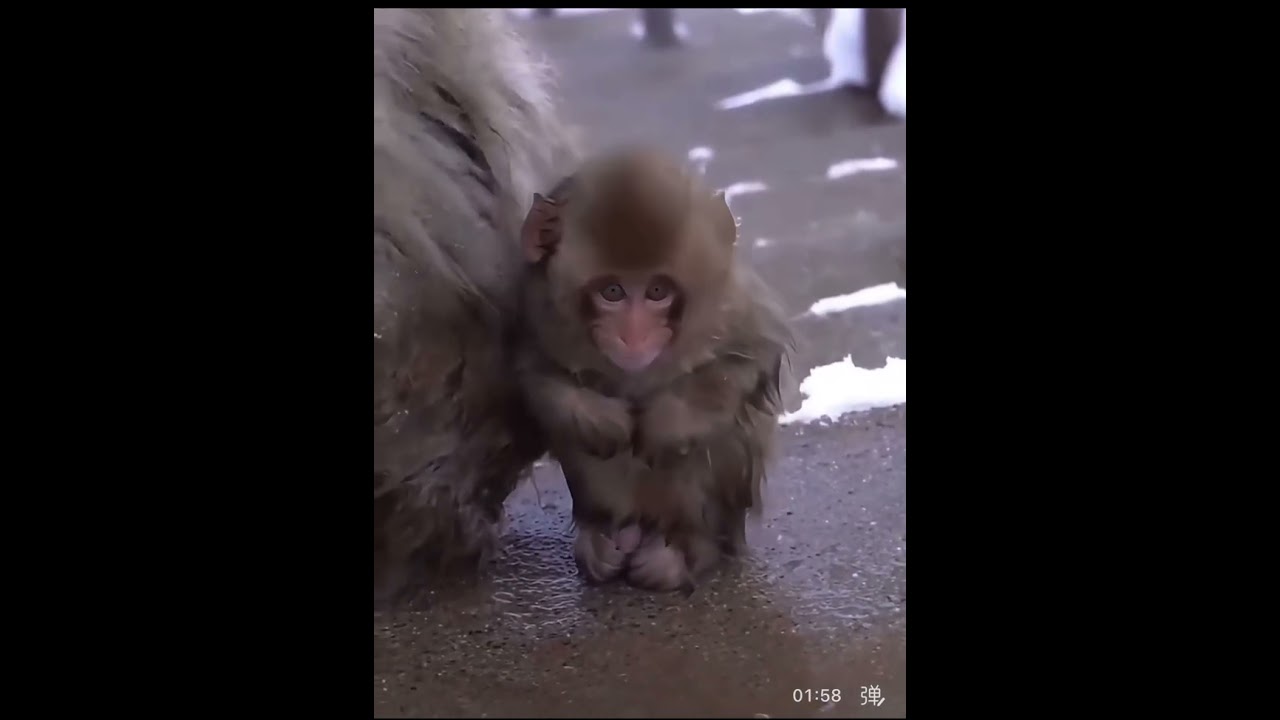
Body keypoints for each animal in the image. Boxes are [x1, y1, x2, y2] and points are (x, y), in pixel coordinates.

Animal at [516, 148, 795, 593]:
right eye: (612, 292)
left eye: (658, 292)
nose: (633, 335)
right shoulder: (537, 308)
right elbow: (537, 371)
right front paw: (600, 421)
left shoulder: (734, 305)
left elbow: (749, 361)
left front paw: (668, 424)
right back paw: (602, 537)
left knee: (727, 437)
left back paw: (688, 550)